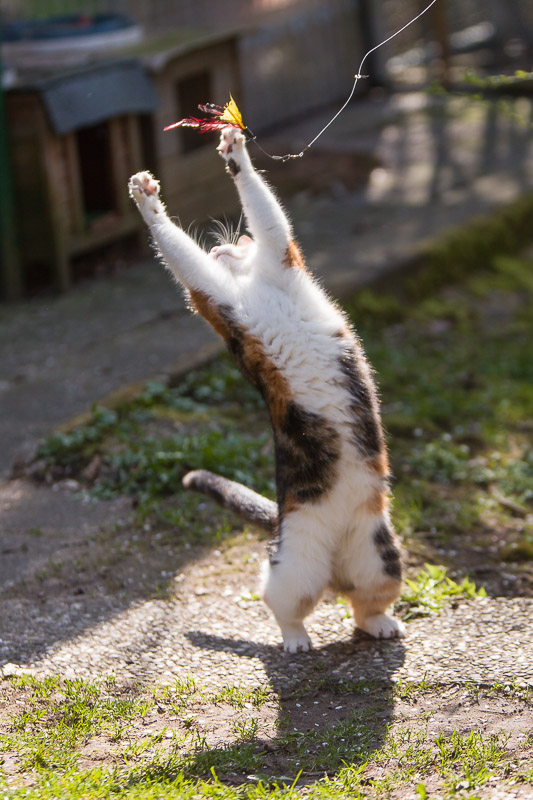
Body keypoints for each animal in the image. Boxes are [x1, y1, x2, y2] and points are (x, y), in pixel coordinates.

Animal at [128, 125, 404, 648]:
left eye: (238, 243)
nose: (222, 247)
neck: (255, 282)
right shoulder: (211, 296)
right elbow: (180, 251)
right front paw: (146, 198)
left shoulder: (281, 253)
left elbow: (265, 209)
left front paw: (234, 153)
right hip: (296, 563)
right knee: (283, 602)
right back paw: (296, 639)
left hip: (383, 556)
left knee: (363, 603)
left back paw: (381, 624)